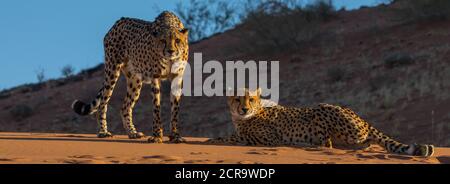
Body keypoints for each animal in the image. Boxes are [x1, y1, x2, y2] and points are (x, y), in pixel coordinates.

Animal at [71, 11, 190, 144]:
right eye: (163, 41)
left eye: (177, 40)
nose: (171, 51)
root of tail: (119, 21)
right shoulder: (155, 77)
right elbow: (156, 108)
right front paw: (157, 135)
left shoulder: (177, 77)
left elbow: (175, 109)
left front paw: (175, 136)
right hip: (112, 70)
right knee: (103, 103)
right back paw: (103, 132)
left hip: (135, 81)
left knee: (125, 107)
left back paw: (132, 133)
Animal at [209, 88, 434, 157]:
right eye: (238, 99)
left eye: (251, 100)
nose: (244, 109)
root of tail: (362, 119)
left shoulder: (269, 138)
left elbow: (236, 137)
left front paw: (216, 139)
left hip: (322, 108)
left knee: (328, 143)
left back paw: (304, 143)